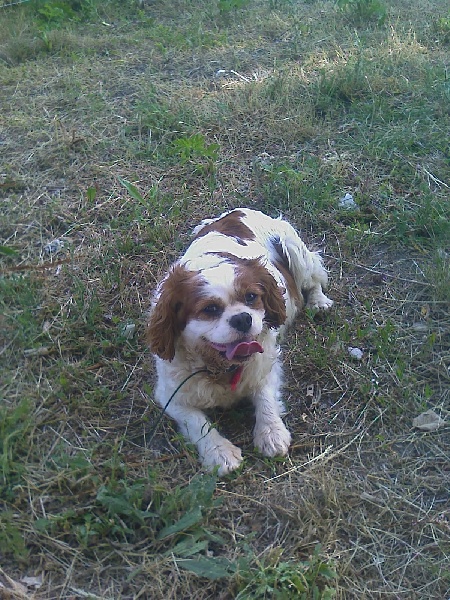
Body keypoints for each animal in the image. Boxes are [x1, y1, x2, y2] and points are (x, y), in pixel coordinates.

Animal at [147, 208, 333, 475]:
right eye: (210, 309)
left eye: (251, 297)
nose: (243, 318)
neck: (220, 365)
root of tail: (238, 211)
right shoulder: (171, 395)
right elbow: (197, 422)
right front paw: (220, 453)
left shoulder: (266, 368)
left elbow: (265, 399)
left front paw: (271, 433)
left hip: (294, 249)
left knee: (314, 279)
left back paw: (319, 302)